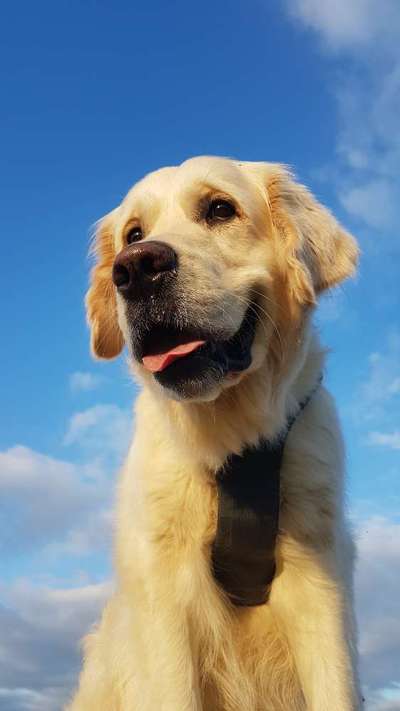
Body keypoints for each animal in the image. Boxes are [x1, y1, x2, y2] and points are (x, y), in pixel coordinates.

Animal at [68, 157, 362, 711]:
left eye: (220, 209)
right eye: (132, 234)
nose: (136, 268)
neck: (231, 438)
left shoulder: (321, 583)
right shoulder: (166, 599)